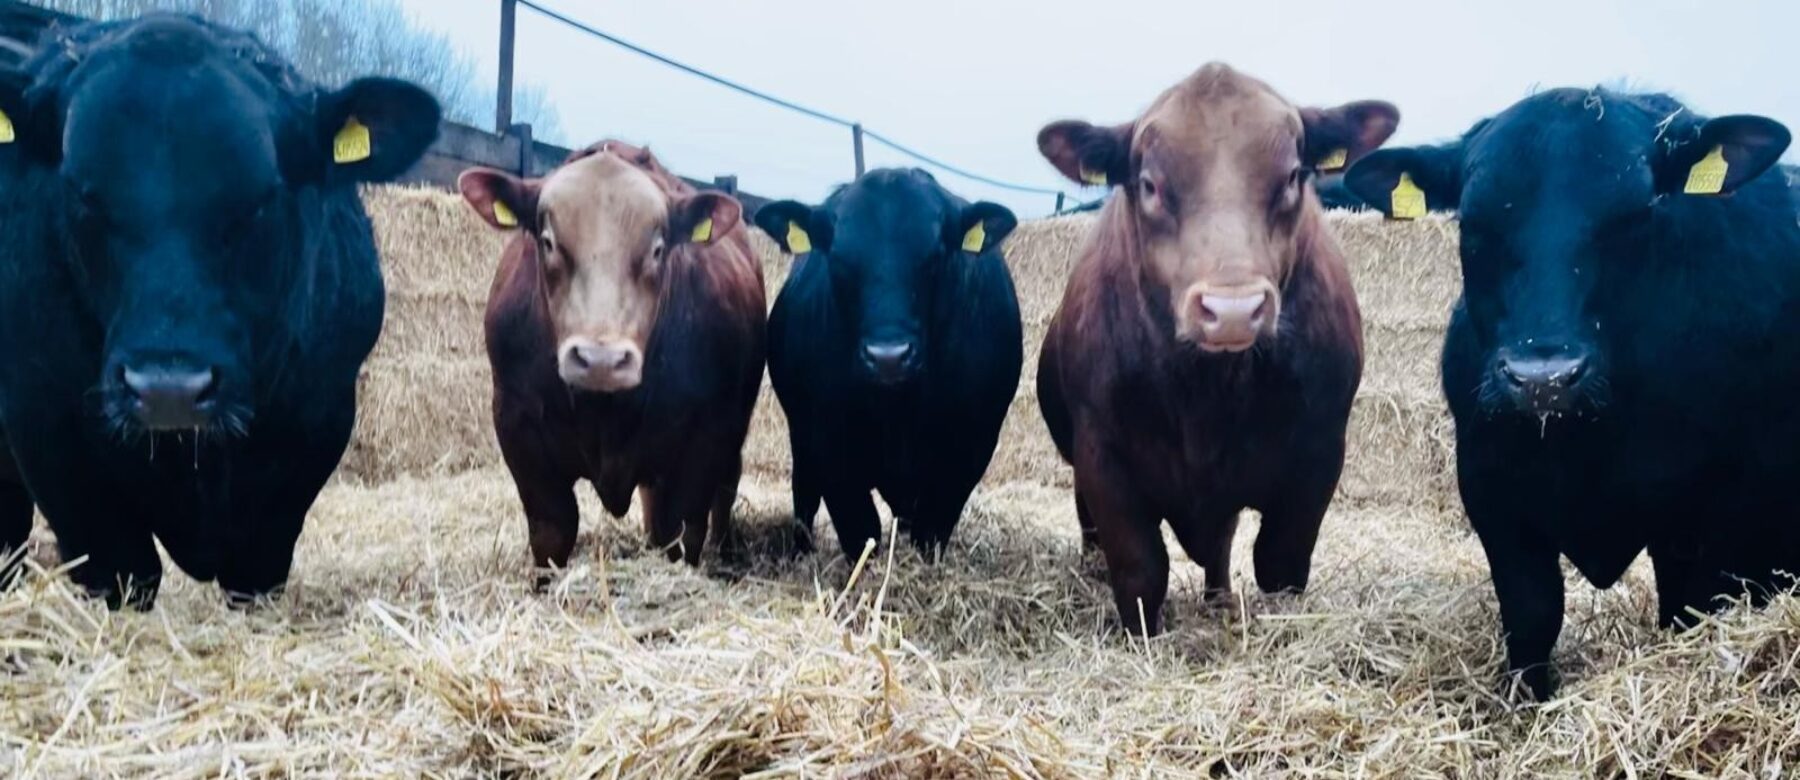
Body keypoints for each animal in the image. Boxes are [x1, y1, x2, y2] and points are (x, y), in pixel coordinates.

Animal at [0, 14, 438, 608]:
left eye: (260, 198)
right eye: (82, 194)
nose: (169, 389)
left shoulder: (315, 424)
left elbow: (255, 572)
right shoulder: (50, 430)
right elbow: (124, 572)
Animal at [458, 141, 766, 576]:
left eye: (658, 249)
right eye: (548, 241)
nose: (600, 359)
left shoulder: (705, 436)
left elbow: (681, 532)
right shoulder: (517, 425)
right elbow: (552, 531)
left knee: (723, 490)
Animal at [754, 168, 1023, 559]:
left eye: (936, 256)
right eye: (838, 259)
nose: (888, 357)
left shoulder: (969, 450)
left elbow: (931, 530)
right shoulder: (828, 445)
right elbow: (861, 529)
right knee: (804, 497)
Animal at [1035, 63, 1397, 635]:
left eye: (1292, 176)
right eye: (1149, 184)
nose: (1232, 308)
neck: (1208, 398)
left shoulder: (1319, 452)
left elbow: (1280, 564)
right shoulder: (1102, 455)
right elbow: (1141, 568)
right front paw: (1140, 638)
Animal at [1344, 89, 1798, 700]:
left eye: (1636, 215)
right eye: (1474, 223)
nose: (1545, 379)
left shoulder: (1715, 521)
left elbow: (1690, 613)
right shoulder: (1493, 496)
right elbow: (1534, 616)